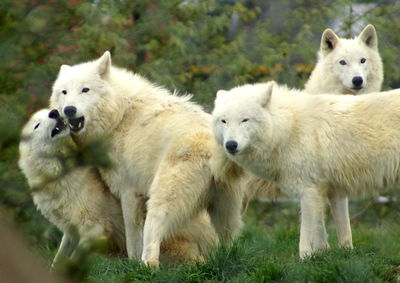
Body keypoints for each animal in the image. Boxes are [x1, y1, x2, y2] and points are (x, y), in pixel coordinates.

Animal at [50, 52, 244, 268]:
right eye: (64, 92)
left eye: (85, 90)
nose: (69, 110)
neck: (119, 115)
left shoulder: (129, 192)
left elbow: (132, 240)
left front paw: (132, 264)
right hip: (226, 208)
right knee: (230, 239)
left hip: (163, 197)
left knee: (154, 230)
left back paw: (148, 264)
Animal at [211, 81, 400, 260]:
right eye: (224, 121)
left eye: (245, 120)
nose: (231, 145)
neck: (287, 129)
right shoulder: (331, 191)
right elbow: (333, 233)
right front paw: (326, 255)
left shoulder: (308, 190)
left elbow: (306, 234)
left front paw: (304, 259)